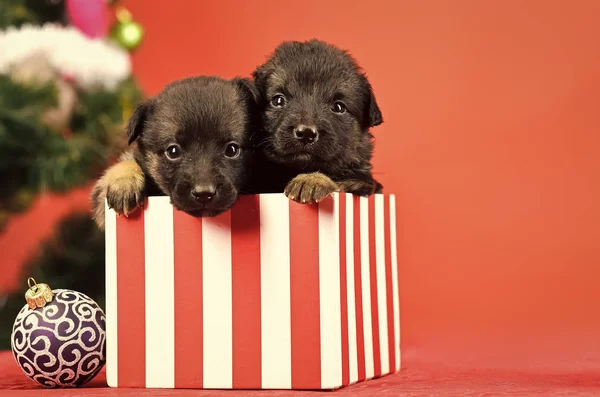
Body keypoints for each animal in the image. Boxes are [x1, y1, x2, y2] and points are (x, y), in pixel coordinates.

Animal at [250, 38, 382, 203]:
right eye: (278, 100)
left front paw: (312, 180)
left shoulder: (363, 182)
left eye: (338, 107)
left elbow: (341, 181)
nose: (306, 133)